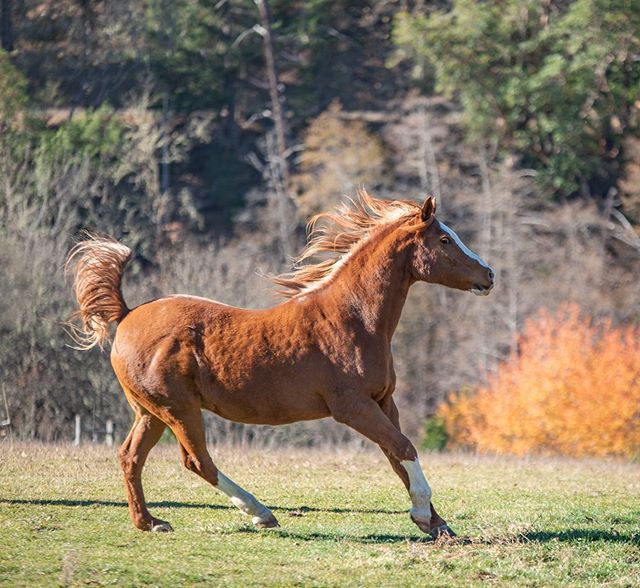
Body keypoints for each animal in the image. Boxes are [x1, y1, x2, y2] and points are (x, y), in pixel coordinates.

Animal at [66, 192, 496, 536]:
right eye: (444, 239)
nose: (489, 275)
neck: (353, 317)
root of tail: (126, 315)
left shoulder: (384, 401)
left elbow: (397, 458)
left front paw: (436, 523)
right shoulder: (352, 407)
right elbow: (404, 448)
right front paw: (424, 514)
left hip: (150, 412)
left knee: (130, 457)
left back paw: (150, 522)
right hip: (178, 409)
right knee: (197, 461)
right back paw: (261, 513)